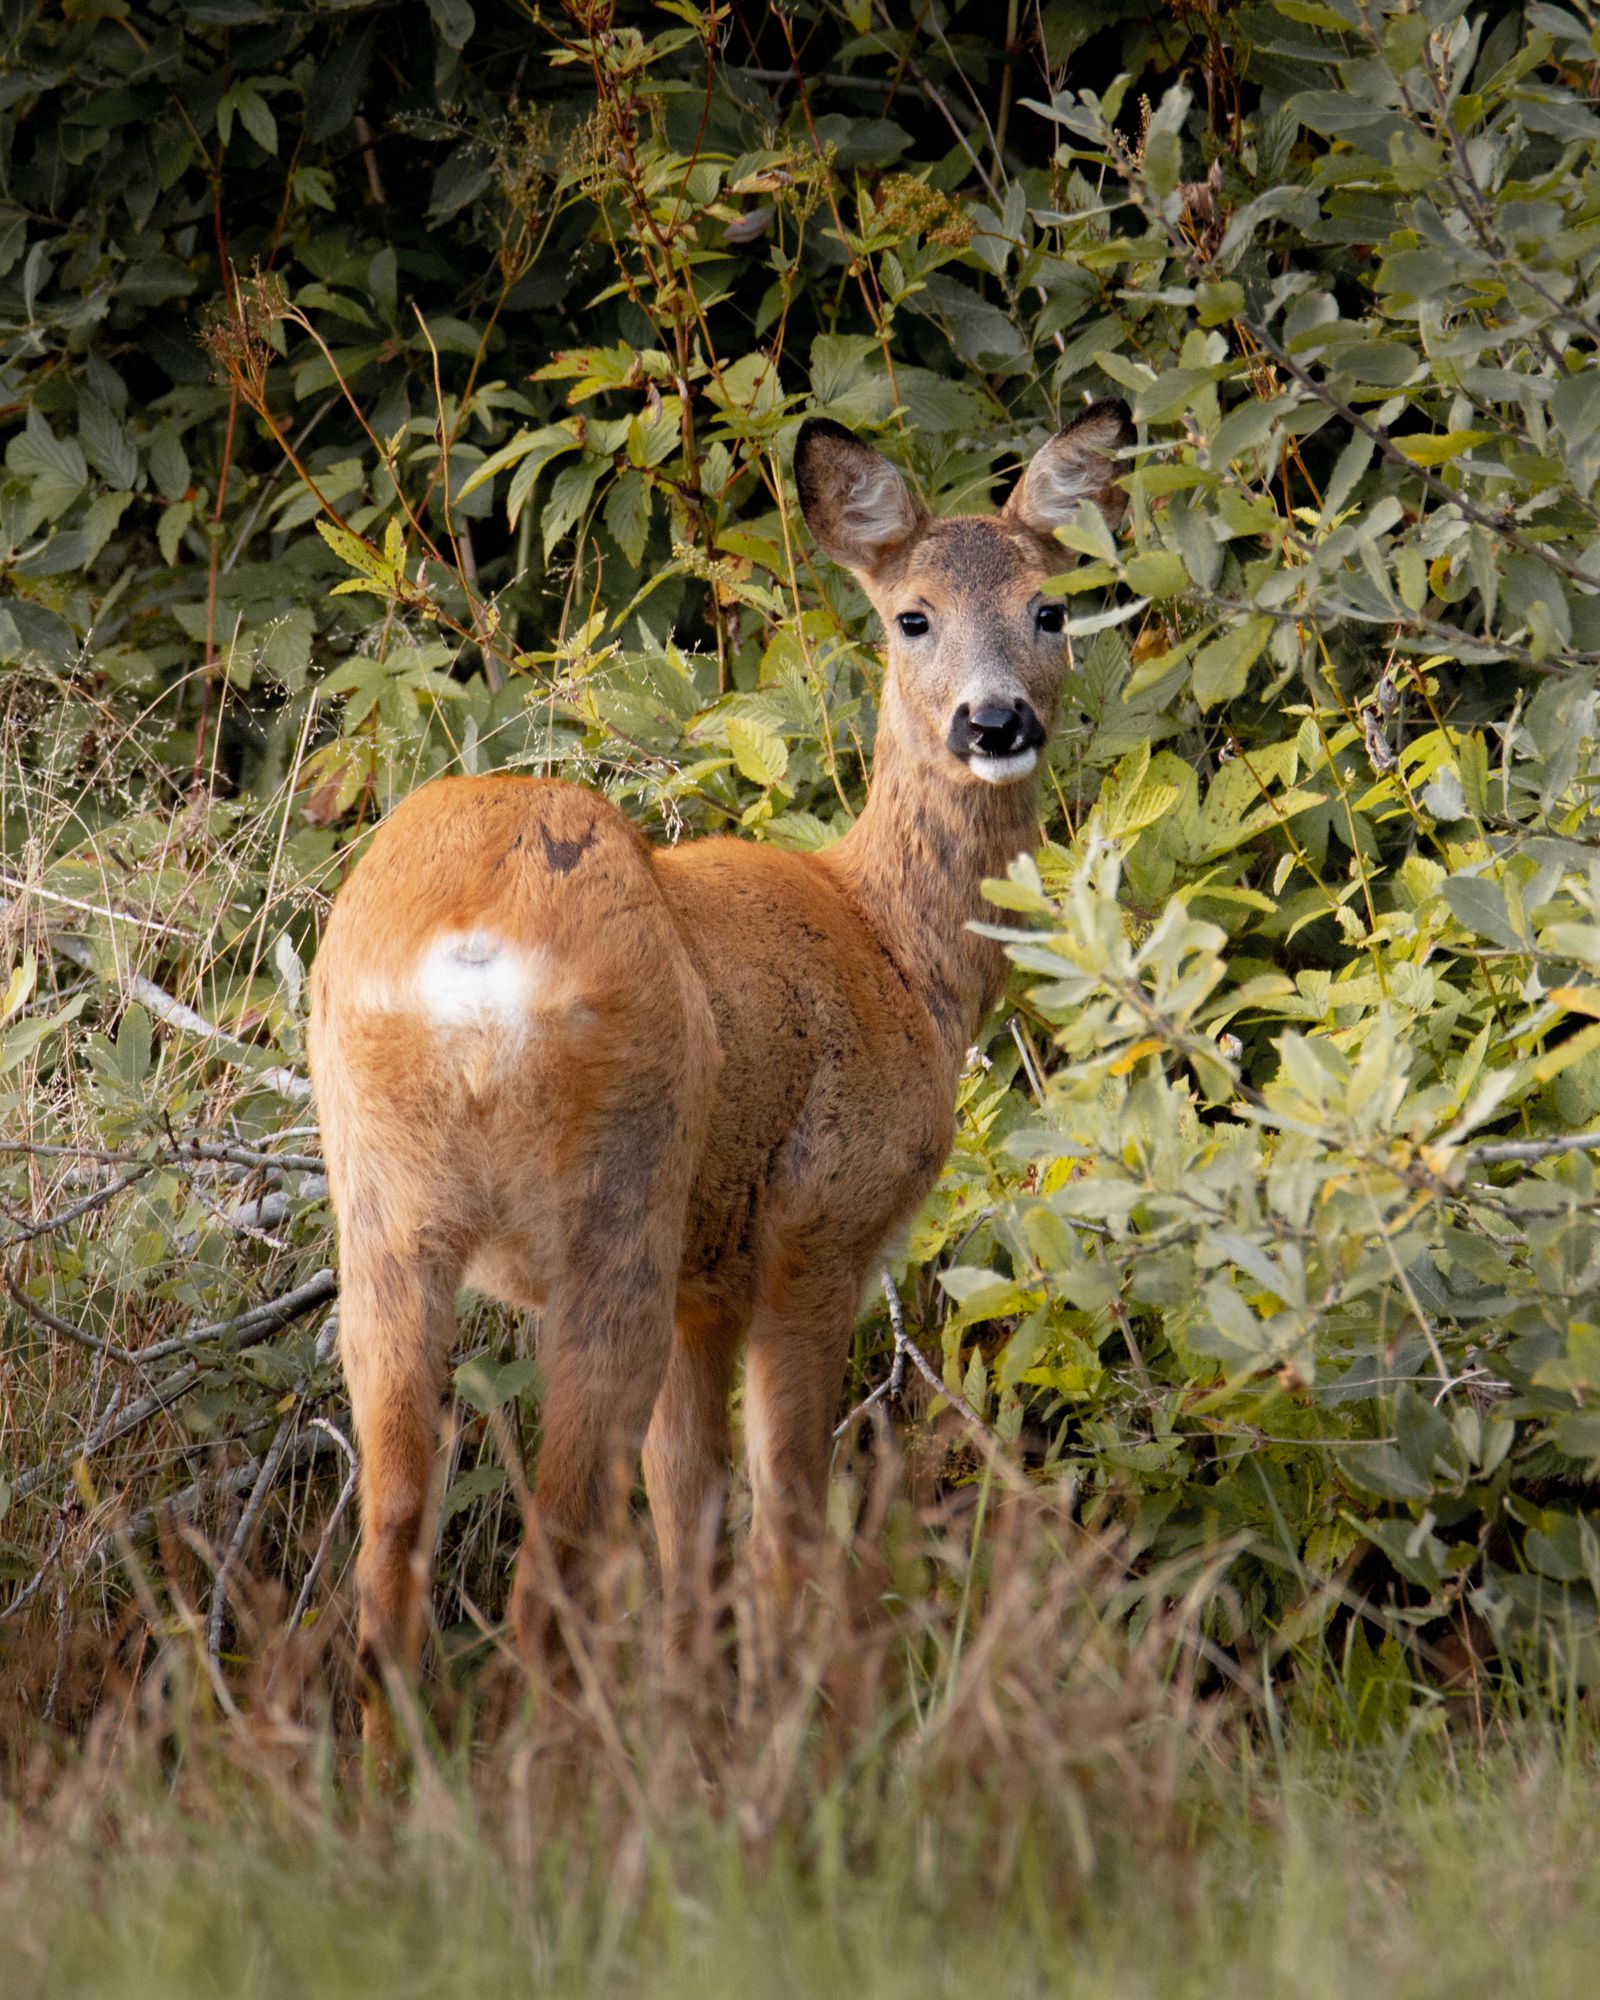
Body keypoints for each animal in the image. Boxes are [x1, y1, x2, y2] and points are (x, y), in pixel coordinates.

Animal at [306, 399, 1130, 1752]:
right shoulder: (816, 1227)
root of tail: (468, 949)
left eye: (1049, 606)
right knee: (550, 1574)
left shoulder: (713, 1279)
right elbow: (788, 1513)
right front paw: (807, 1747)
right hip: (620, 1193)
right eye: (911, 615)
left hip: (381, 1207)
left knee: (390, 1565)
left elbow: (690, 1521)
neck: (894, 950)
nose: (995, 722)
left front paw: (706, 1738)